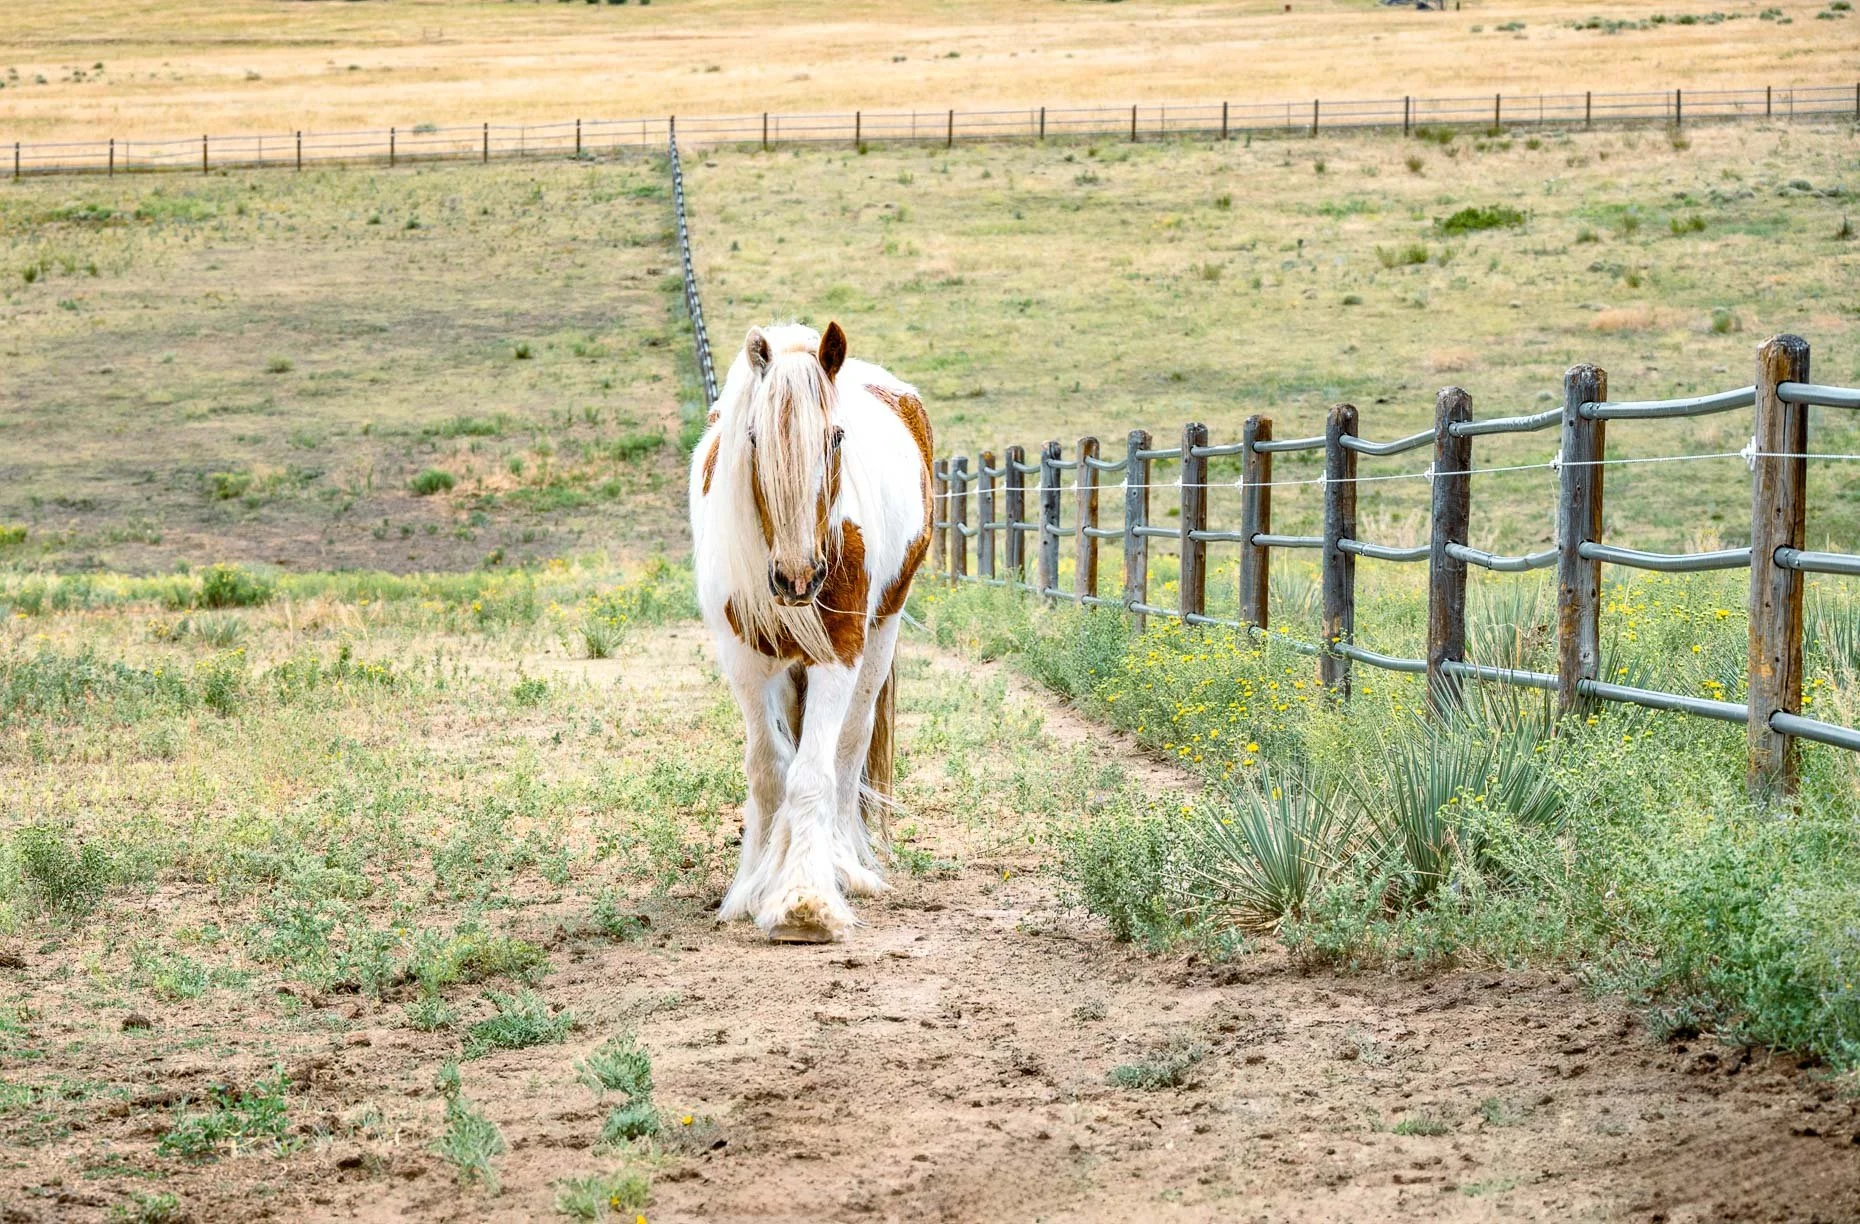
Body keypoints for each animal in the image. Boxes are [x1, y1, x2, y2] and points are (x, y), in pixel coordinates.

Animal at [688, 320, 933, 942]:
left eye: (836, 436)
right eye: (753, 438)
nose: (797, 577)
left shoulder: (840, 652)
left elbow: (814, 770)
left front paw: (805, 901)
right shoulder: (743, 658)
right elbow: (768, 769)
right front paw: (751, 889)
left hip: (883, 630)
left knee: (848, 746)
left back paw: (844, 864)